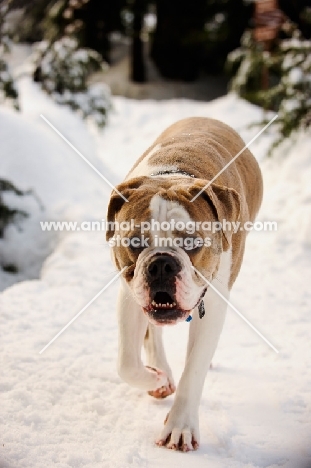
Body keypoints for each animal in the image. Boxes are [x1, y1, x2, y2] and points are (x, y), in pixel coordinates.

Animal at [106, 116, 264, 450]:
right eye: (135, 242)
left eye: (192, 243)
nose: (161, 264)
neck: (171, 177)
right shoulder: (128, 294)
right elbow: (126, 362)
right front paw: (156, 378)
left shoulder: (213, 304)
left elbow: (194, 369)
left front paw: (180, 427)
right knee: (151, 334)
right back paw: (161, 372)